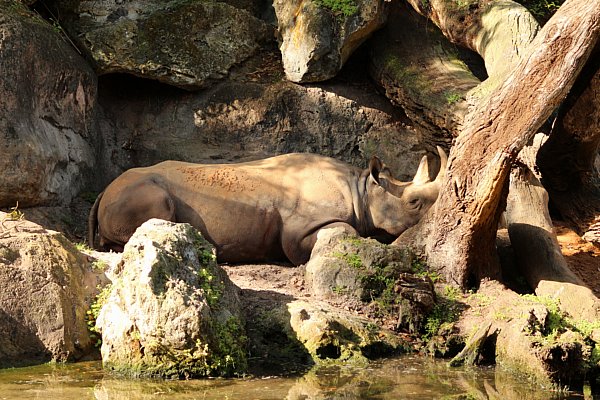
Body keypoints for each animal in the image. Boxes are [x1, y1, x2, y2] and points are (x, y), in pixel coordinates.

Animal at [88, 148, 446, 266]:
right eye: (414, 203)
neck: (362, 190)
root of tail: (102, 190)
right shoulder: (301, 230)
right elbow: (345, 232)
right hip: (139, 190)